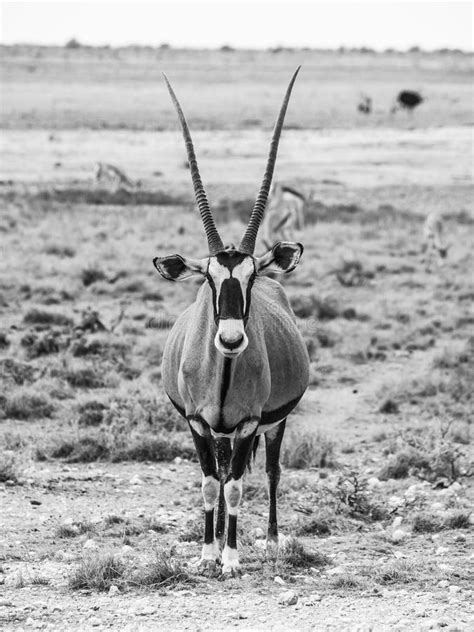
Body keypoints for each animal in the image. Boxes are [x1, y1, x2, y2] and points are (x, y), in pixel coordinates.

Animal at [155, 66, 312, 576]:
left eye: (252, 275)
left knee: (268, 471)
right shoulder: (198, 423)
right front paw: (207, 554)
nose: (229, 339)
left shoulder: (246, 424)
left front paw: (232, 559)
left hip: (275, 423)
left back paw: (272, 540)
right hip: (219, 431)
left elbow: (240, 485)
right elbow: (211, 482)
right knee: (223, 474)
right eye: (208, 277)